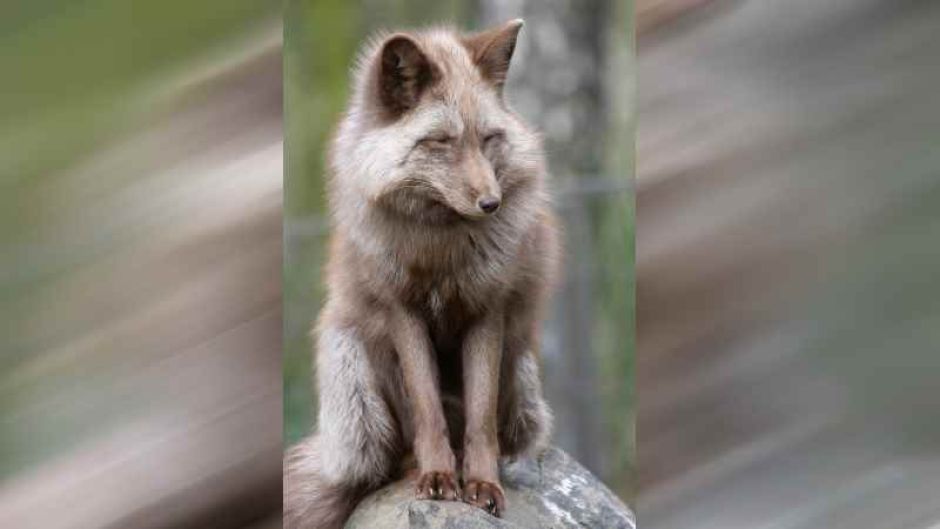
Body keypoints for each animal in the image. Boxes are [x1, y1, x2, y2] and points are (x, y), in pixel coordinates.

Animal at [284, 19, 560, 529]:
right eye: (441, 141)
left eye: (488, 138)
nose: (491, 203)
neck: (440, 252)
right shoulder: (402, 312)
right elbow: (426, 410)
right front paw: (438, 478)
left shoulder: (487, 311)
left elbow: (480, 420)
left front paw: (481, 486)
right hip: (347, 356)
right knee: (384, 462)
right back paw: (413, 466)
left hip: (523, 381)